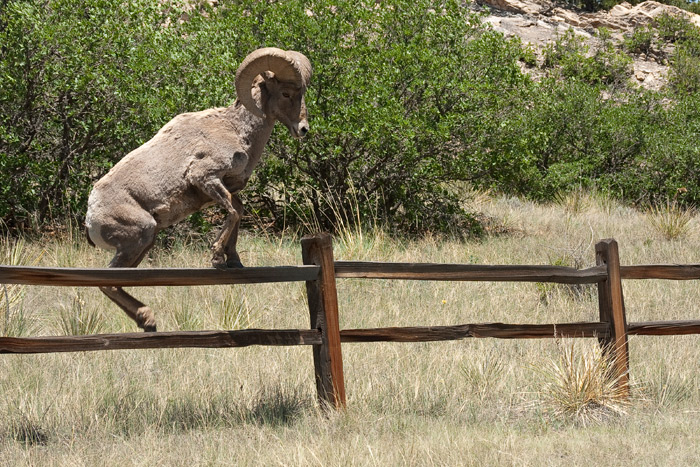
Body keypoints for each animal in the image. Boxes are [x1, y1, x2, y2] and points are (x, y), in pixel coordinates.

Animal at [83, 47, 310, 332]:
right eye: (286, 93)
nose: (304, 129)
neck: (236, 130)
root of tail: (91, 218)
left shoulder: (226, 188)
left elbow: (238, 210)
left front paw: (233, 260)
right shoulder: (205, 177)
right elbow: (233, 212)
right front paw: (217, 258)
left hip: (145, 242)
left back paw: (147, 321)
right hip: (139, 236)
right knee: (108, 283)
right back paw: (148, 318)